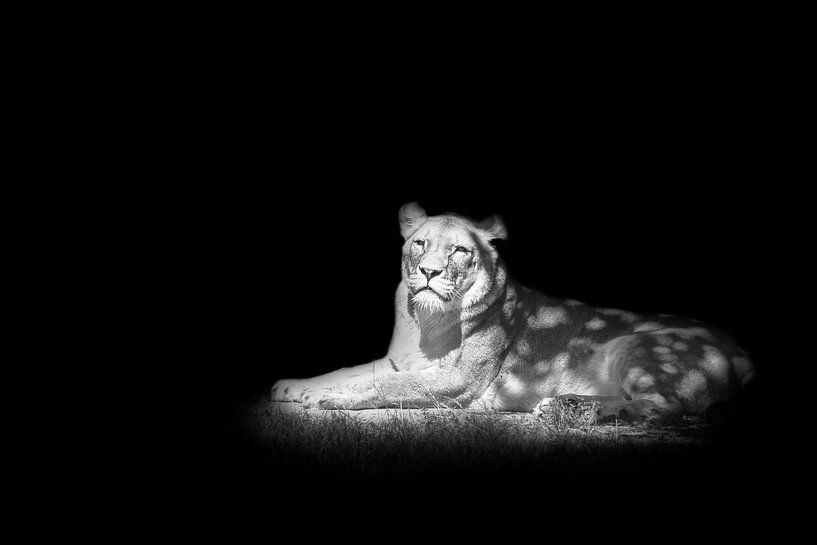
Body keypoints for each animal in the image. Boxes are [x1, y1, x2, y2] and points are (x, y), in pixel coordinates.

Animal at [271, 202, 755, 420]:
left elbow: (385, 386)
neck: (427, 322)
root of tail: (743, 354)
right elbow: (351, 371)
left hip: (641, 343)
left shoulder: (458, 380)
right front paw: (293, 386)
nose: (429, 272)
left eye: (461, 251)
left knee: (663, 405)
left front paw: (326, 398)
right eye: (420, 244)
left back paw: (571, 407)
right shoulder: (397, 361)